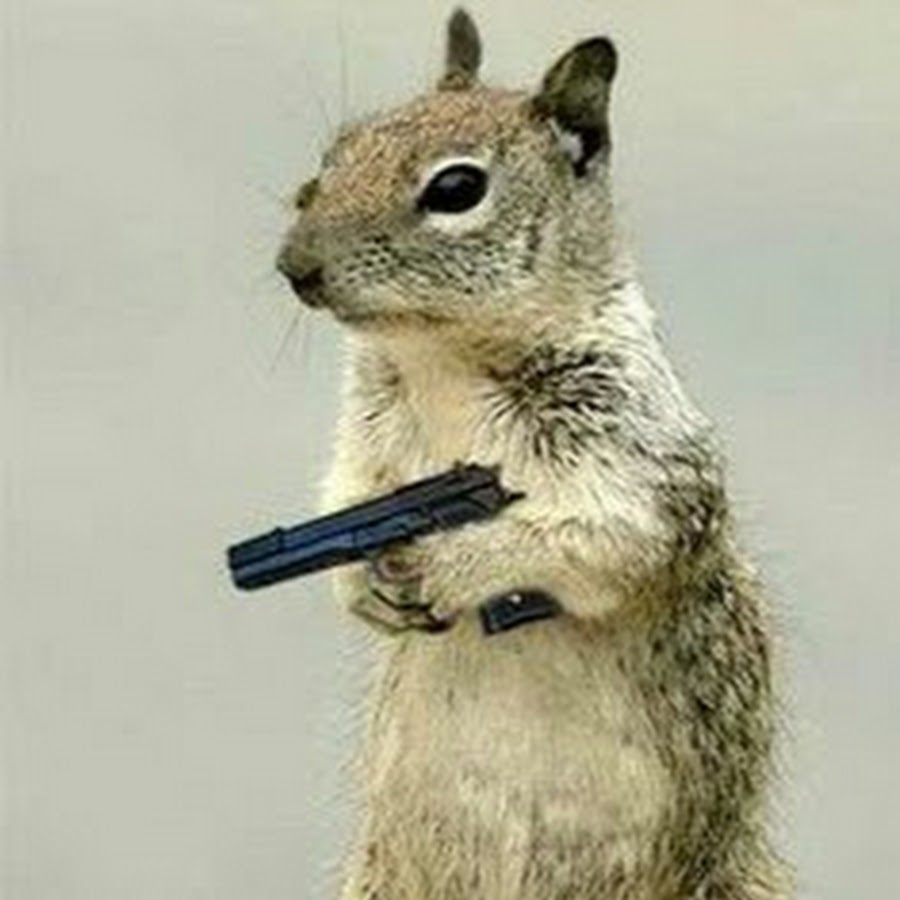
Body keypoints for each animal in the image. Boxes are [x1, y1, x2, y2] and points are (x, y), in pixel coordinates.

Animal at [276, 8, 791, 900]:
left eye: (456, 189)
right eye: (337, 151)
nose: (293, 266)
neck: (442, 360)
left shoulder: (637, 456)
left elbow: (592, 538)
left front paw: (441, 565)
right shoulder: (365, 441)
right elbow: (347, 496)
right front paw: (365, 584)